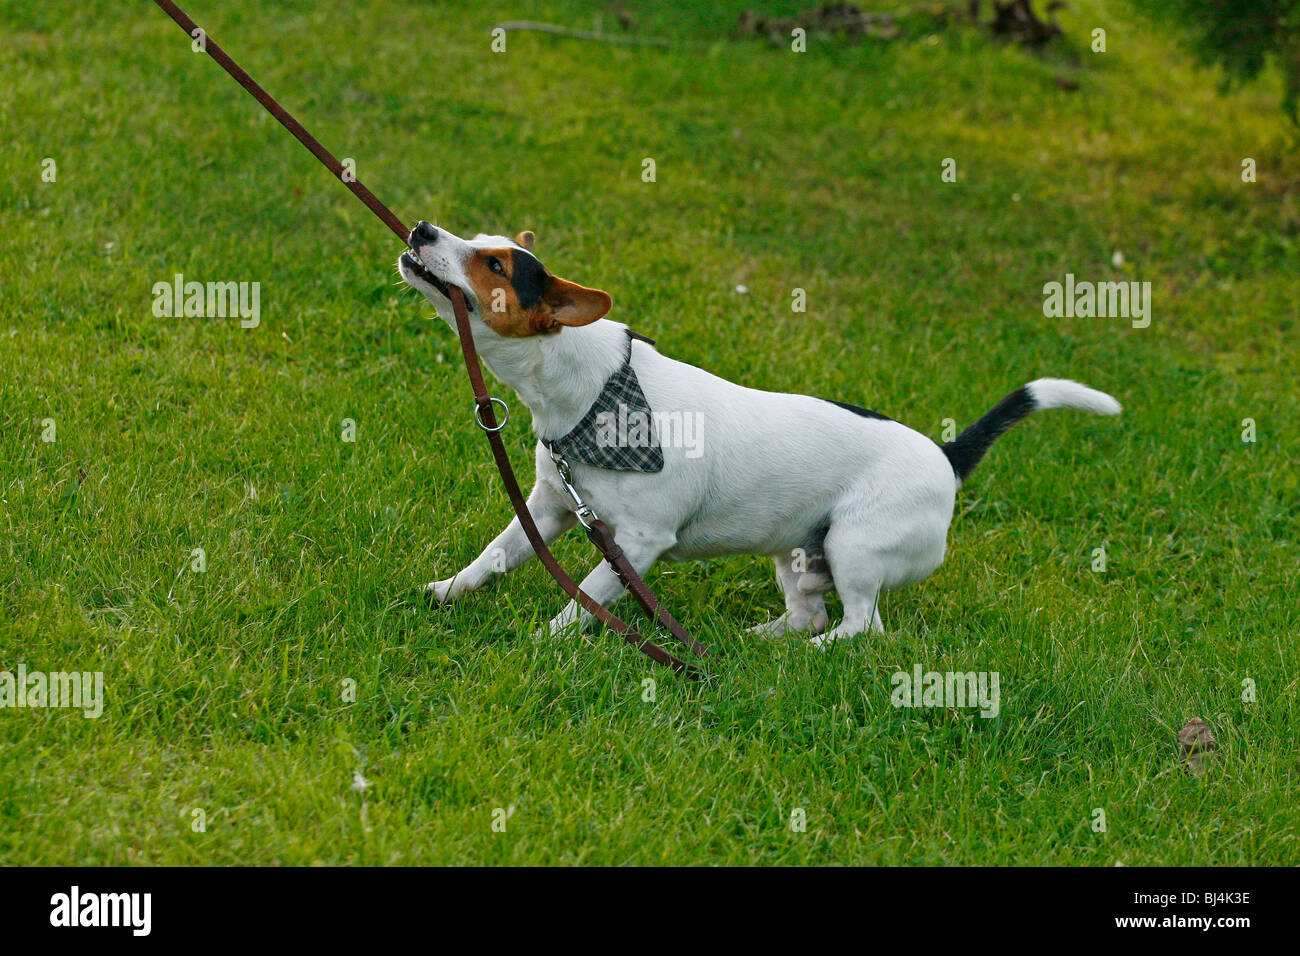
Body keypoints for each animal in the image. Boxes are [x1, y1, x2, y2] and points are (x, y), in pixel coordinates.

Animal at [400, 221, 1123, 647]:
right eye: (471, 235)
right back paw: (762, 643)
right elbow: (492, 557)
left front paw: (546, 643)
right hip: (800, 555)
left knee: (861, 626)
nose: (422, 226)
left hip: (856, 546)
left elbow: (584, 599)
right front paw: (446, 593)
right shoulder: (549, 509)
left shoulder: (637, 542)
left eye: (495, 265)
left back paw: (811, 655)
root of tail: (945, 456)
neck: (594, 387)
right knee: (812, 610)